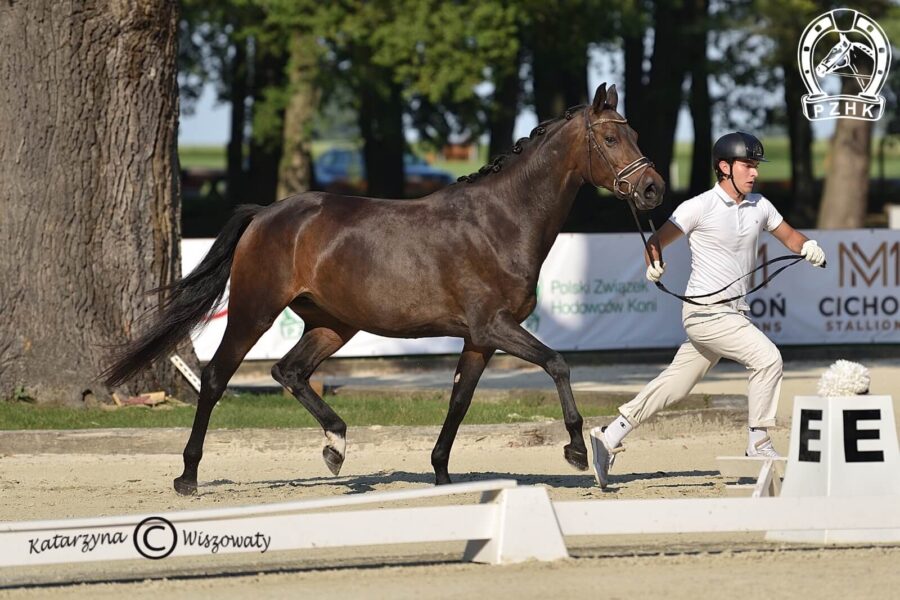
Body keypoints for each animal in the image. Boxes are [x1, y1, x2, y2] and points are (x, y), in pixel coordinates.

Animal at [107, 84, 668, 496]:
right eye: (611, 139)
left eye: (637, 133)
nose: (653, 189)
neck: (501, 220)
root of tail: (265, 214)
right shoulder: (496, 326)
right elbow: (558, 363)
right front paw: (575, 449)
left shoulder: (480, 339)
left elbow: (460, 400)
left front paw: (441, 473)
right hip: (255, 311)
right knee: (216, 377)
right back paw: (188, 475)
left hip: (333, 325)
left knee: (289, 371)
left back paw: (336, 446)